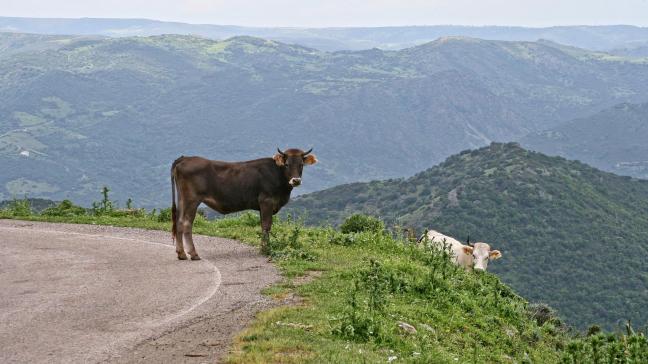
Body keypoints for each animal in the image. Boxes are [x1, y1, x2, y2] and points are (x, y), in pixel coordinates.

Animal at [170, 147, 316, 258]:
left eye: (301, 165)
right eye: (287, 164)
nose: (296, 180)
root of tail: (185, 158)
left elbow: (263, 225)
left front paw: (263, 247)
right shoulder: (266, 201)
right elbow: (266, 225)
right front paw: (266, 249)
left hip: (182, 199)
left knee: (178, 221)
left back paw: (181, 253)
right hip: (192, 200)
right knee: (186, 223)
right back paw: (193, 254)